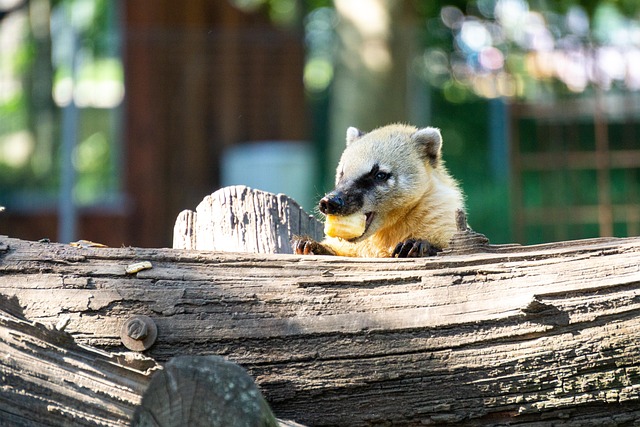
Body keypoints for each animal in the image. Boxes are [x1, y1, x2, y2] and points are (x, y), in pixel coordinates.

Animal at [293, 123, 465, 258]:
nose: (329, 202)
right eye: (342, 173)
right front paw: (312, 245)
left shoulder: (440, 215)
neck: (386, 228)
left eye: (380, 175)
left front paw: (419, 245)